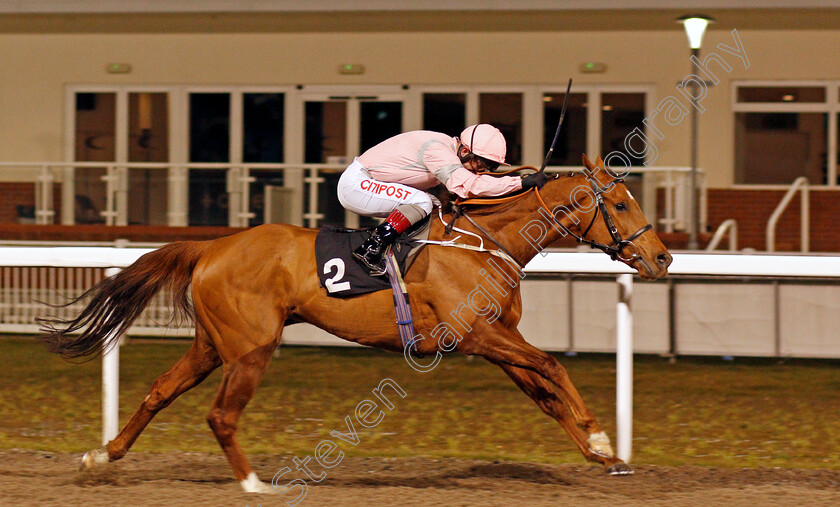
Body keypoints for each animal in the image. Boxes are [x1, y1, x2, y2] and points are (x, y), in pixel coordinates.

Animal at [39, 154, 672, 492]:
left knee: (159, 391)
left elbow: (545, 393)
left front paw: (604, 456)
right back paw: (253, 483)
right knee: (220, 415)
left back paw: (103, 455)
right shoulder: (480, 335)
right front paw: (600, 437)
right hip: (251, 347)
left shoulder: (495, 341)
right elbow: (552, 366)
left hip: (213, 345)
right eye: (620, 205)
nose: (662, 257)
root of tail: (212, 247)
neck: (484, 242)